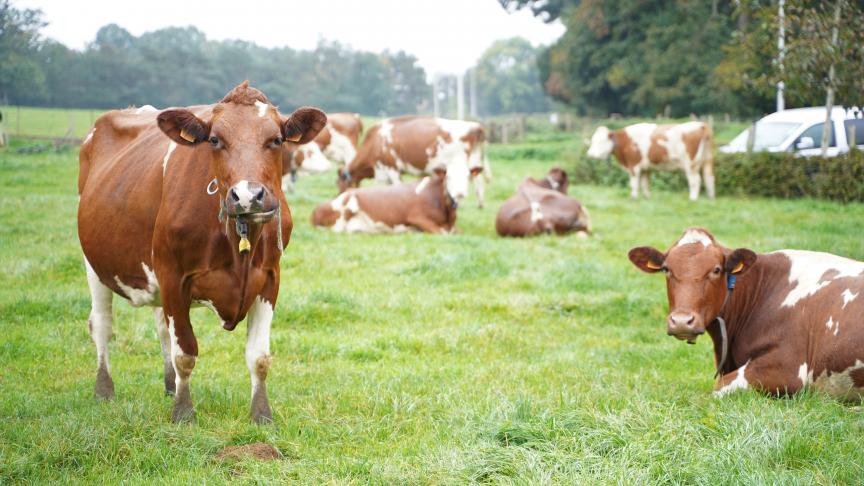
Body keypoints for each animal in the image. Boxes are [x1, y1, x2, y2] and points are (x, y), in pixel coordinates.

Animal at [77, 80, 326, 422]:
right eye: (214, 140)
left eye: (276, 139)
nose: (247, 196)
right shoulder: (173, 277)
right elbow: (186, 353)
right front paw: (183, 413)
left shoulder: (270, 278)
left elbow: (259, 357)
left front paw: (261, 415)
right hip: (94, 265)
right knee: (102, 324)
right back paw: (104, 390)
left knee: (160, 327)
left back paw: (168, 386)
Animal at [336, 118, 490, 209]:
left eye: (339, 184)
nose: (339, 197)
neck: (375, 142)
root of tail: (475, 126)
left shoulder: (390, 169)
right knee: (479, 182)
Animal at [588, 122, 716, 200]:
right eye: (592, 140)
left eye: (601, 141)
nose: (589, 154)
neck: (626, 141)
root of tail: (701, 124)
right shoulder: (645, 168)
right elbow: (645, 184)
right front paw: (647, 198)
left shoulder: (634, 166)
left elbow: (634, 184)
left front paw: (633, 197)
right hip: (707, 160)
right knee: (709, 178)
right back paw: (711, 198)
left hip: (691, 164)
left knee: (695, 180)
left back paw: (693, 199)